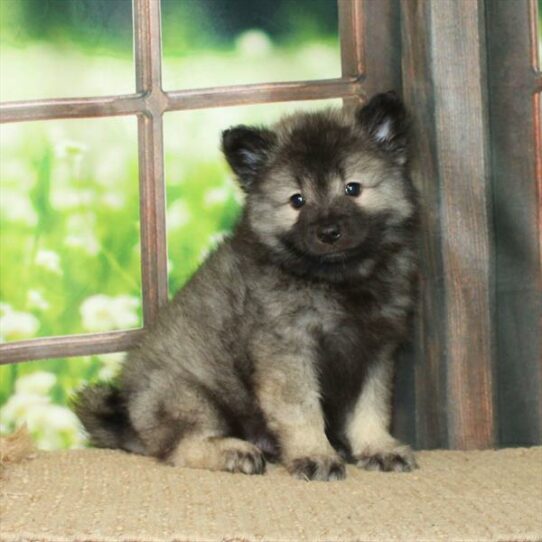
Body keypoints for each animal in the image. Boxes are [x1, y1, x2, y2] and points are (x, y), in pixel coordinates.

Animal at [73, 91, 420, 482]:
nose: (329, 232)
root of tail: (126, 420)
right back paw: (235, 451)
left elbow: (370, 409)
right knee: (183, 446)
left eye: (353, 188)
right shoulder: (288, 352)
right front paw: (315, 454)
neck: (336, 281)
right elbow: (302, 410)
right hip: (187, 394)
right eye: (297, 200)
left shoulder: (376, 351)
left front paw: (378, 448)